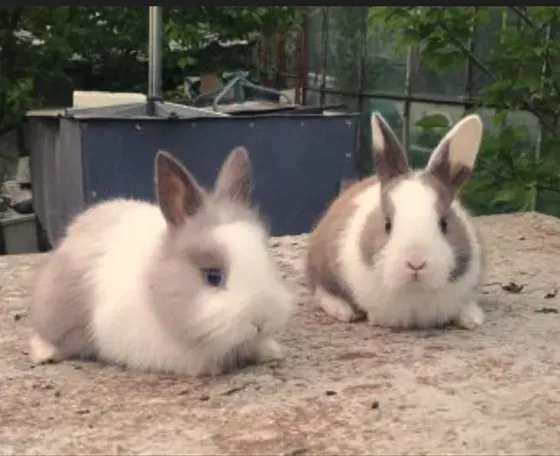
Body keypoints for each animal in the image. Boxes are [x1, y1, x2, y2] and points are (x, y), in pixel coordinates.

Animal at [28, 147, 296, 378]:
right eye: (213, 276)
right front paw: (213, 368)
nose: (260, 321)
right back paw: (44, 355)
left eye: (267, 258)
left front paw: (271, 352)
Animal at [306, 112, 486, 330]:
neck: (415, 291)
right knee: (322, 291)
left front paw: (473, 319)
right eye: (387, 224)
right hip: (321, 266)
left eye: (444, 223)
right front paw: (375, 318)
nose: (416, 263)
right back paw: (342, 311)